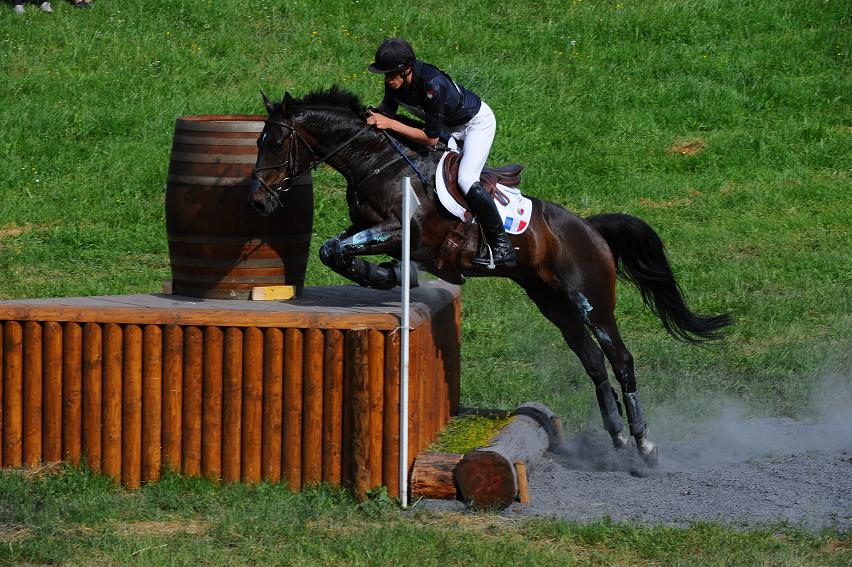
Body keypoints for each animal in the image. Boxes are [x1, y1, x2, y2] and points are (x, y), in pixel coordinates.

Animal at [248, 86, 732, 464]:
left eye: (276, 143)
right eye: (258, 142)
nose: (257, 202)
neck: (379, 162)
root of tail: (591, 229)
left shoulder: (402, 232)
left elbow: (342, 249)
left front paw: (383, 275)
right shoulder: (367, 229)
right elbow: (332, 248)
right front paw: (382, 276)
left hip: (591, 302)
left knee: (621, 359)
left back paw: (645, 447)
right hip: (552, 302)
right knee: (592, 361)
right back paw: (615, 437)